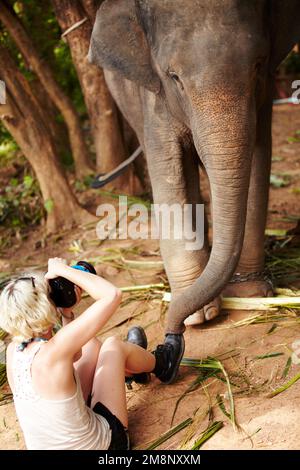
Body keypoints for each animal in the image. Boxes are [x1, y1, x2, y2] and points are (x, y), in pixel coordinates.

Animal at [88, 0, 300, 382]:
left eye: (258, 64)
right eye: (175, 78)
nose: (169, 338)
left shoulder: (262, 97)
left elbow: (258, 158)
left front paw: (249, 291)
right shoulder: (152, 97)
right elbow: (168, 170)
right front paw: (200, 316)